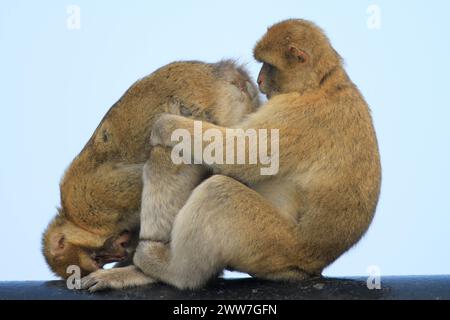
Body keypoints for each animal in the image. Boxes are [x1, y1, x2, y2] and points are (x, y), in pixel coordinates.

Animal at [80, 19, 380, 290]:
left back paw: (171, 271)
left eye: (269, 65)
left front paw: (163, 125)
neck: (321, 82)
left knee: (219, 194)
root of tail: (309, 265)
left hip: (275, 243)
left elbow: (236, 153)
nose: (259, 79)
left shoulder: (296, 113)